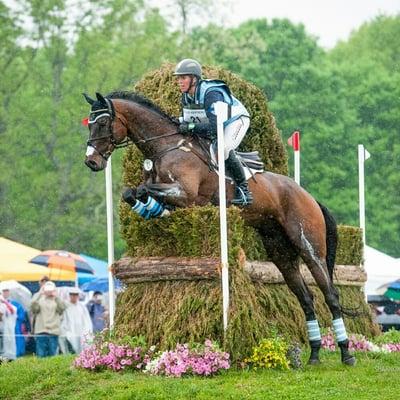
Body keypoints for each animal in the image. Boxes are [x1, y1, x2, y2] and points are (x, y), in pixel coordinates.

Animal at [83, 90, 356, 366]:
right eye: (90, 123)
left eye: (103, 123)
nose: (91, 162)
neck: (166, 148)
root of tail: (308, 196)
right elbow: (132, 192)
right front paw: (151, 210)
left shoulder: (185, 194)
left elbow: (142, 189)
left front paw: (151, 208)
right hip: (280, 250)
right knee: (306, 298)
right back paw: (314, 354)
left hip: (308, 245)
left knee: (330, 294)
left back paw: (346, 353)